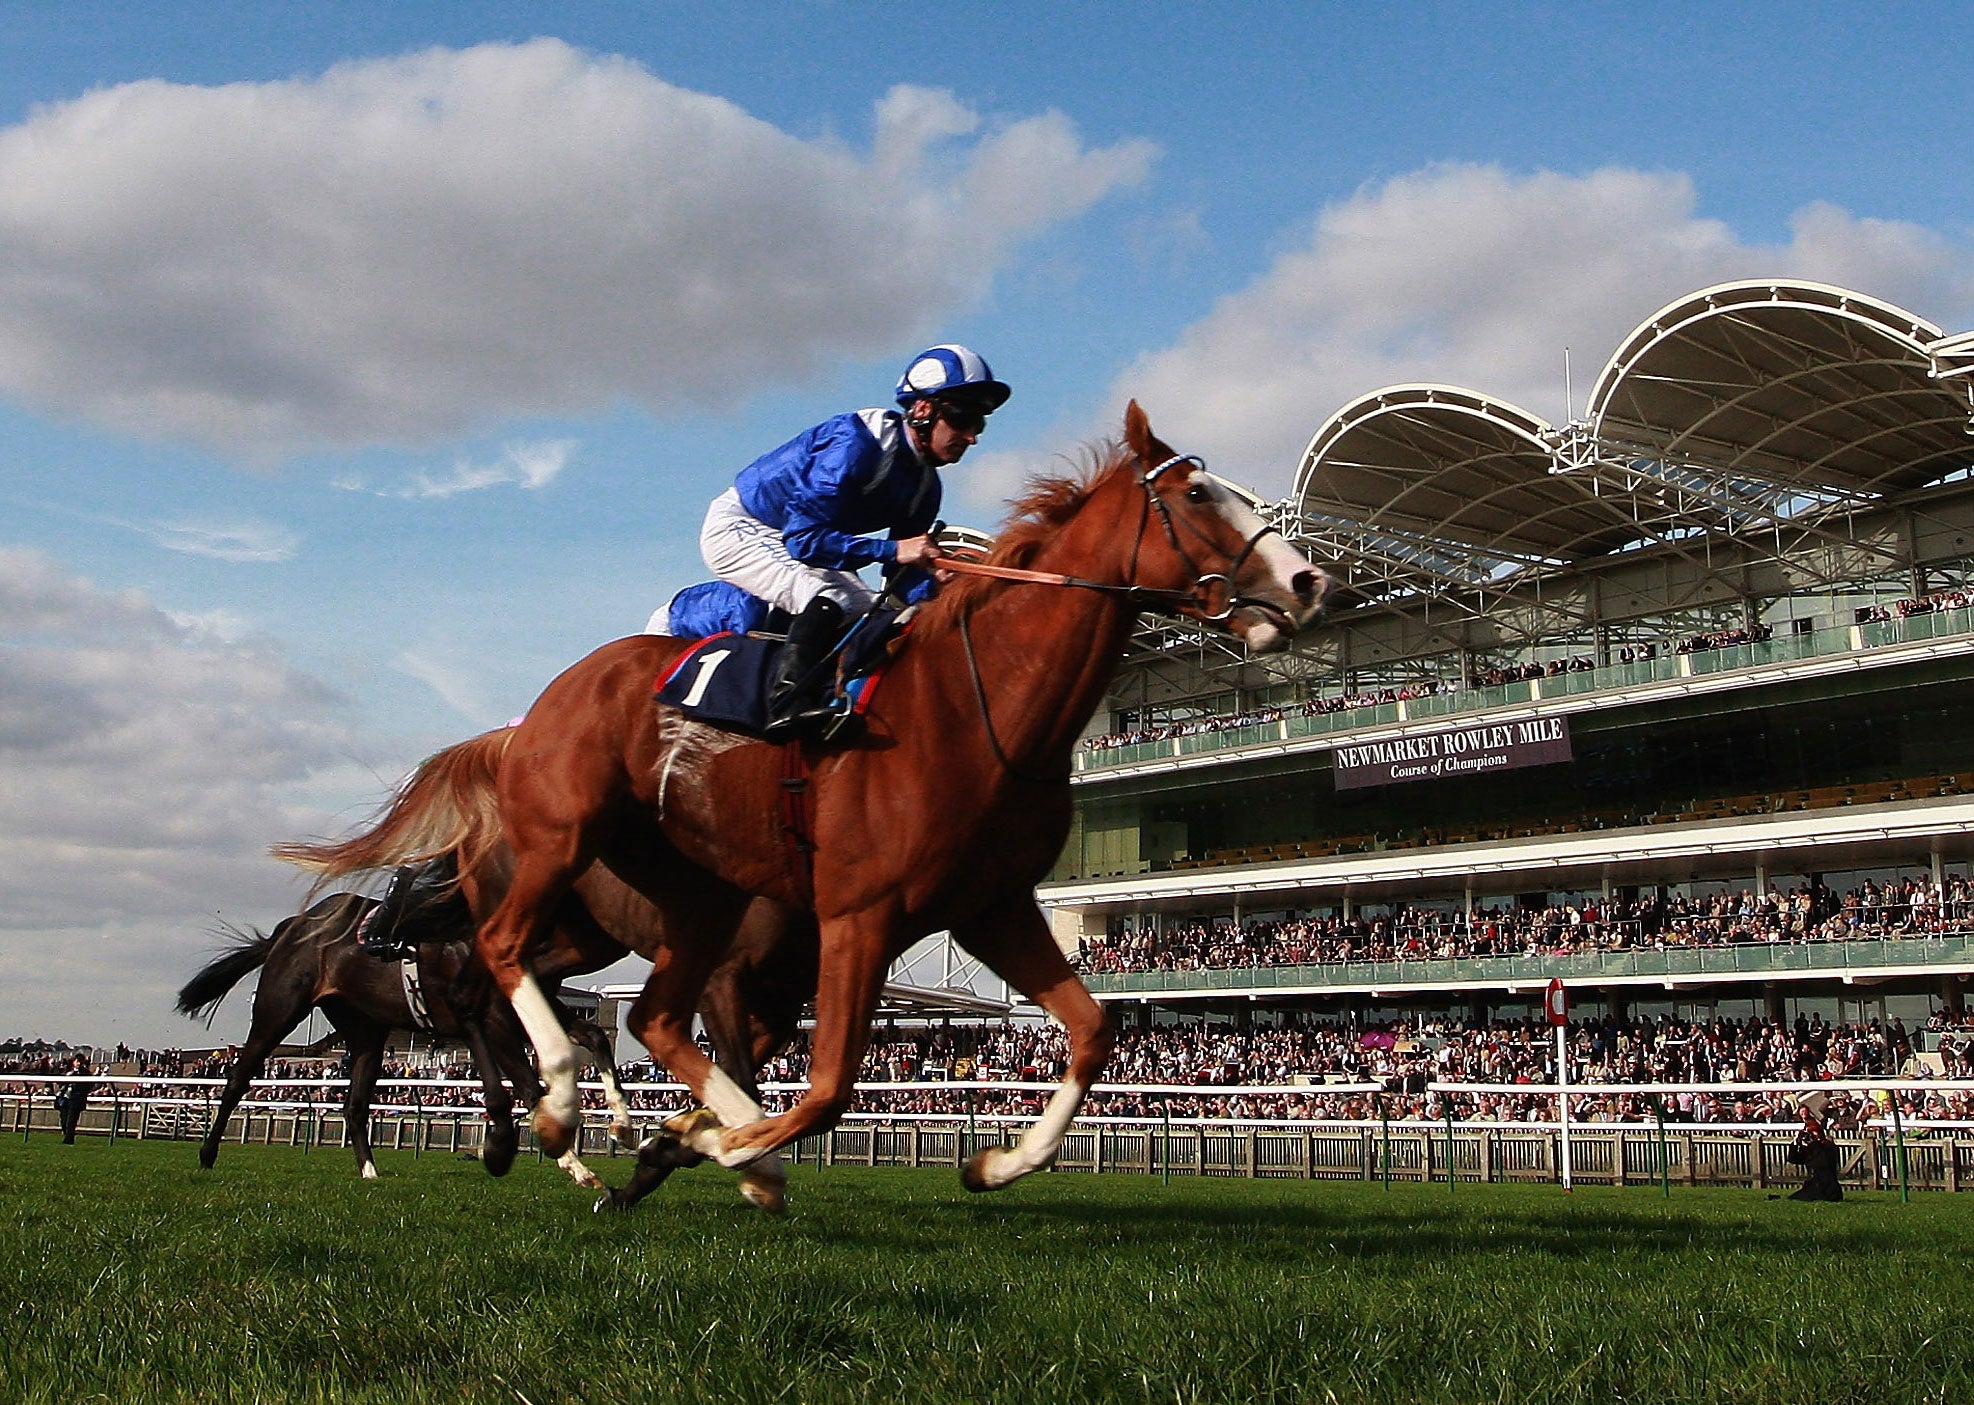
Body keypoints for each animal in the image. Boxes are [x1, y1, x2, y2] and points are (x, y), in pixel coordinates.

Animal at [467, 402, 1326, 1199]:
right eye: (1197, 493)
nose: (1309, 582)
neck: (976, 708)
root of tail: (534, 711)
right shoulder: (859, 913)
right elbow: (827, 1089)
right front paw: (725, 1144)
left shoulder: (993, 907)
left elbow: (1091, 1030)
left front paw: (998, 1160)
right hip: (563, 838)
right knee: (504, 948)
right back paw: (562, 1109)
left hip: (697, 895)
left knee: (651, 1014)